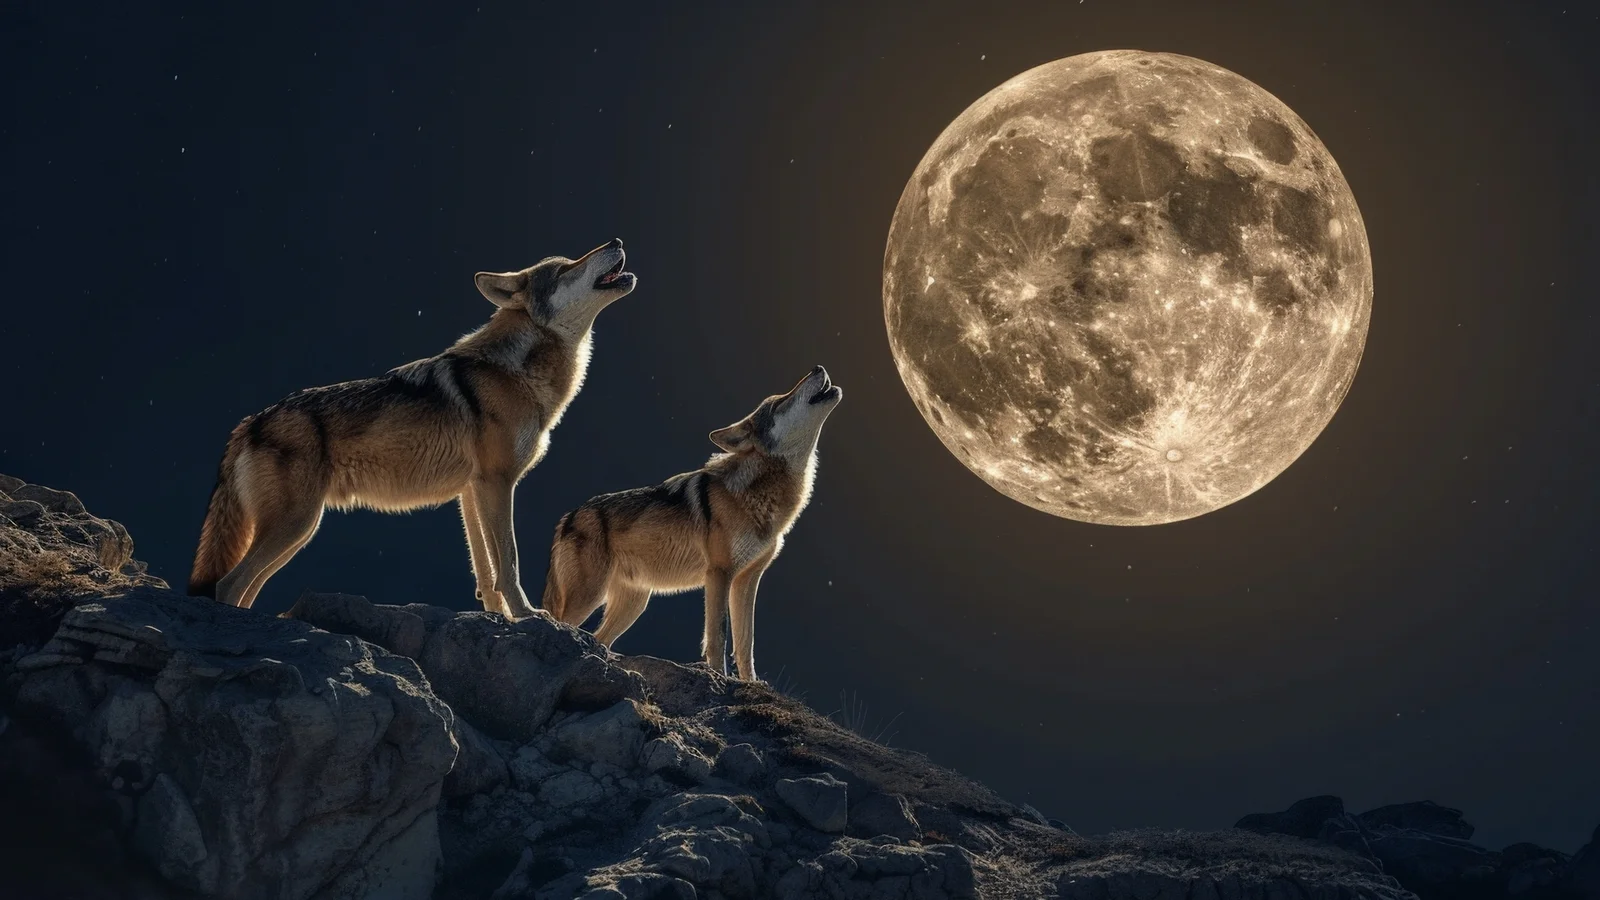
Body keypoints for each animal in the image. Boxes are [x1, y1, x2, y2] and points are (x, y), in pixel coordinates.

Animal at [187, 238, 637, 614]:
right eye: (566, 268)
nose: (615, 240)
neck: (517, 371)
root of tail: (249, 423)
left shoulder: (471, 492)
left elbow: (485, 571)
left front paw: (499, 619)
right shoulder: (497, 482)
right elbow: (508, 562)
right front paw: (526, 615)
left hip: (299, 530)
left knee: (244, 587)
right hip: (296, 524)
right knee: (228, 585)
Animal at [542, 366, 843, 680]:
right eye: (780, 402)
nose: (818, 367)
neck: (758, 494)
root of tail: (567, 517)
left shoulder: (747, 580)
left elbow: (745, 642)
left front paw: (749, 683)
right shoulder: (719, 574)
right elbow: (718, 635)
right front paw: (720, 678)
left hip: (633, 605)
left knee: (598, 638)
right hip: (589, 596)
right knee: (561, 624)